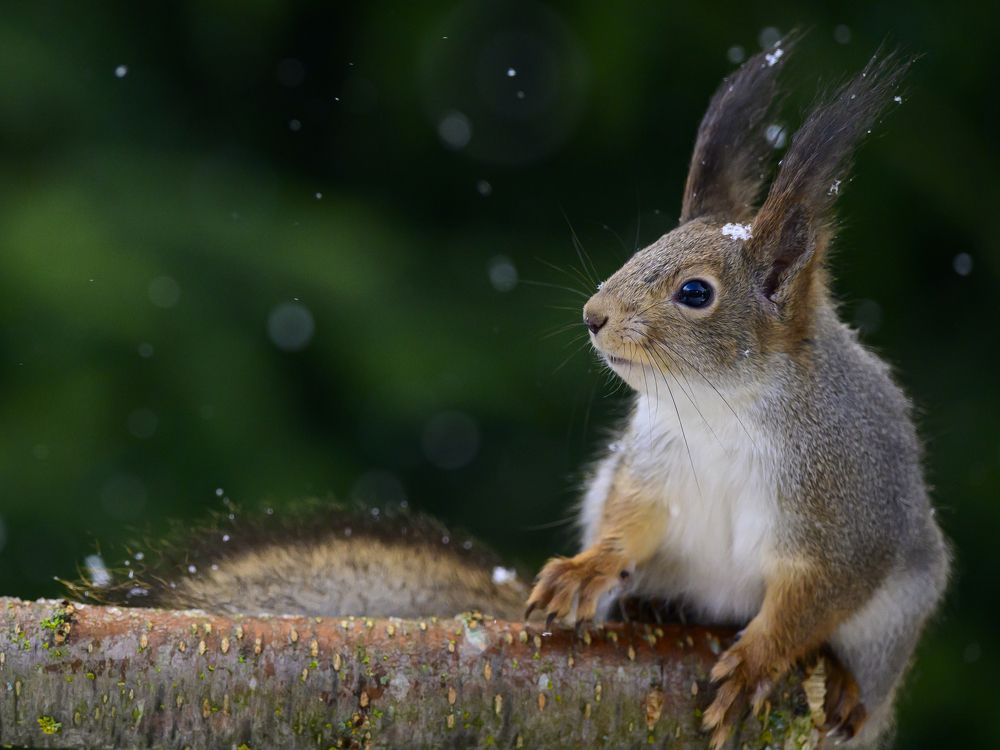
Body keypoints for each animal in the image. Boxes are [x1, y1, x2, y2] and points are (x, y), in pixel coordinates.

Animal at [524, 37, 949, 749]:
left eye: (695, 292)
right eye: (647, 247)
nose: (593, 315)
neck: (720, 407)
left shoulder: (840, 513)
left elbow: (810, 600)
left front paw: (755, 664)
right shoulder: (654, 464)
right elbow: (628, 518)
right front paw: (587, 569)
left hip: (897, 615)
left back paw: (844, 683)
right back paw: (649, 604)